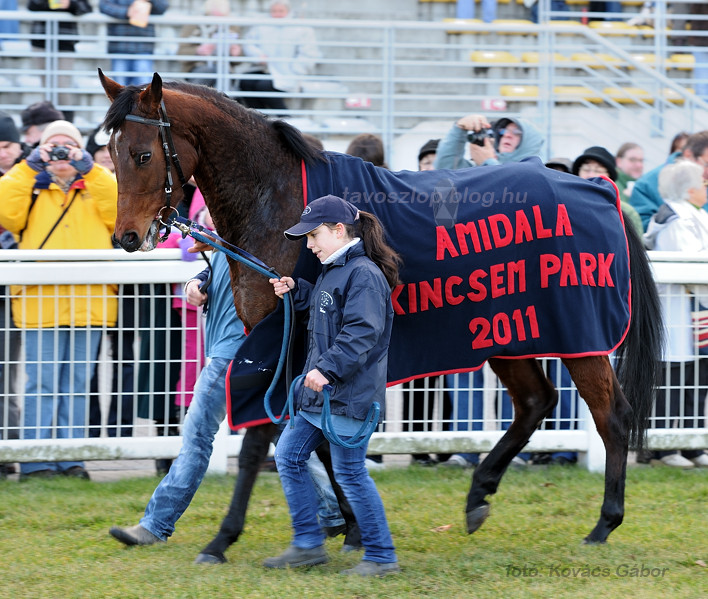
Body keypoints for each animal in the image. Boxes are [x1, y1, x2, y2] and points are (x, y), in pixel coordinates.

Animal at [98, 71, 664, 564]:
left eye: (143, 155)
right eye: (111, 153)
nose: (127, 237)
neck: (279, 203)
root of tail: (597, 188)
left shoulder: (282, 337)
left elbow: (263, 439)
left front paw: (223, 539)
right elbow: (315, 434)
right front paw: (349, 526)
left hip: (580, 337)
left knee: (612, 416)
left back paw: (603, 523)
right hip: (506, 331)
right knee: (535, 402)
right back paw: (478, 496)